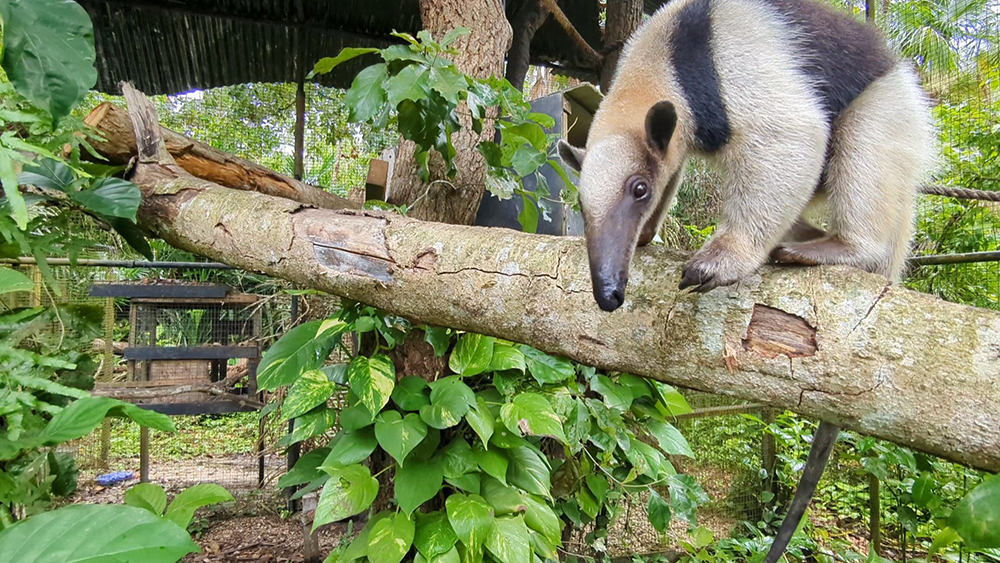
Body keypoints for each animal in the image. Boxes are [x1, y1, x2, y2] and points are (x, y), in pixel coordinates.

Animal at [556, 0, 936, 560]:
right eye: (581, 206)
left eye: (637, 188)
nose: (609, 294)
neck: (669, 51)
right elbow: (679, 166)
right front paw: (648, 235)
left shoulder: (739, 69)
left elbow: (789, 136)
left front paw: (715, 263)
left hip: (888, 108)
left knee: (861, 153)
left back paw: (831, 248)